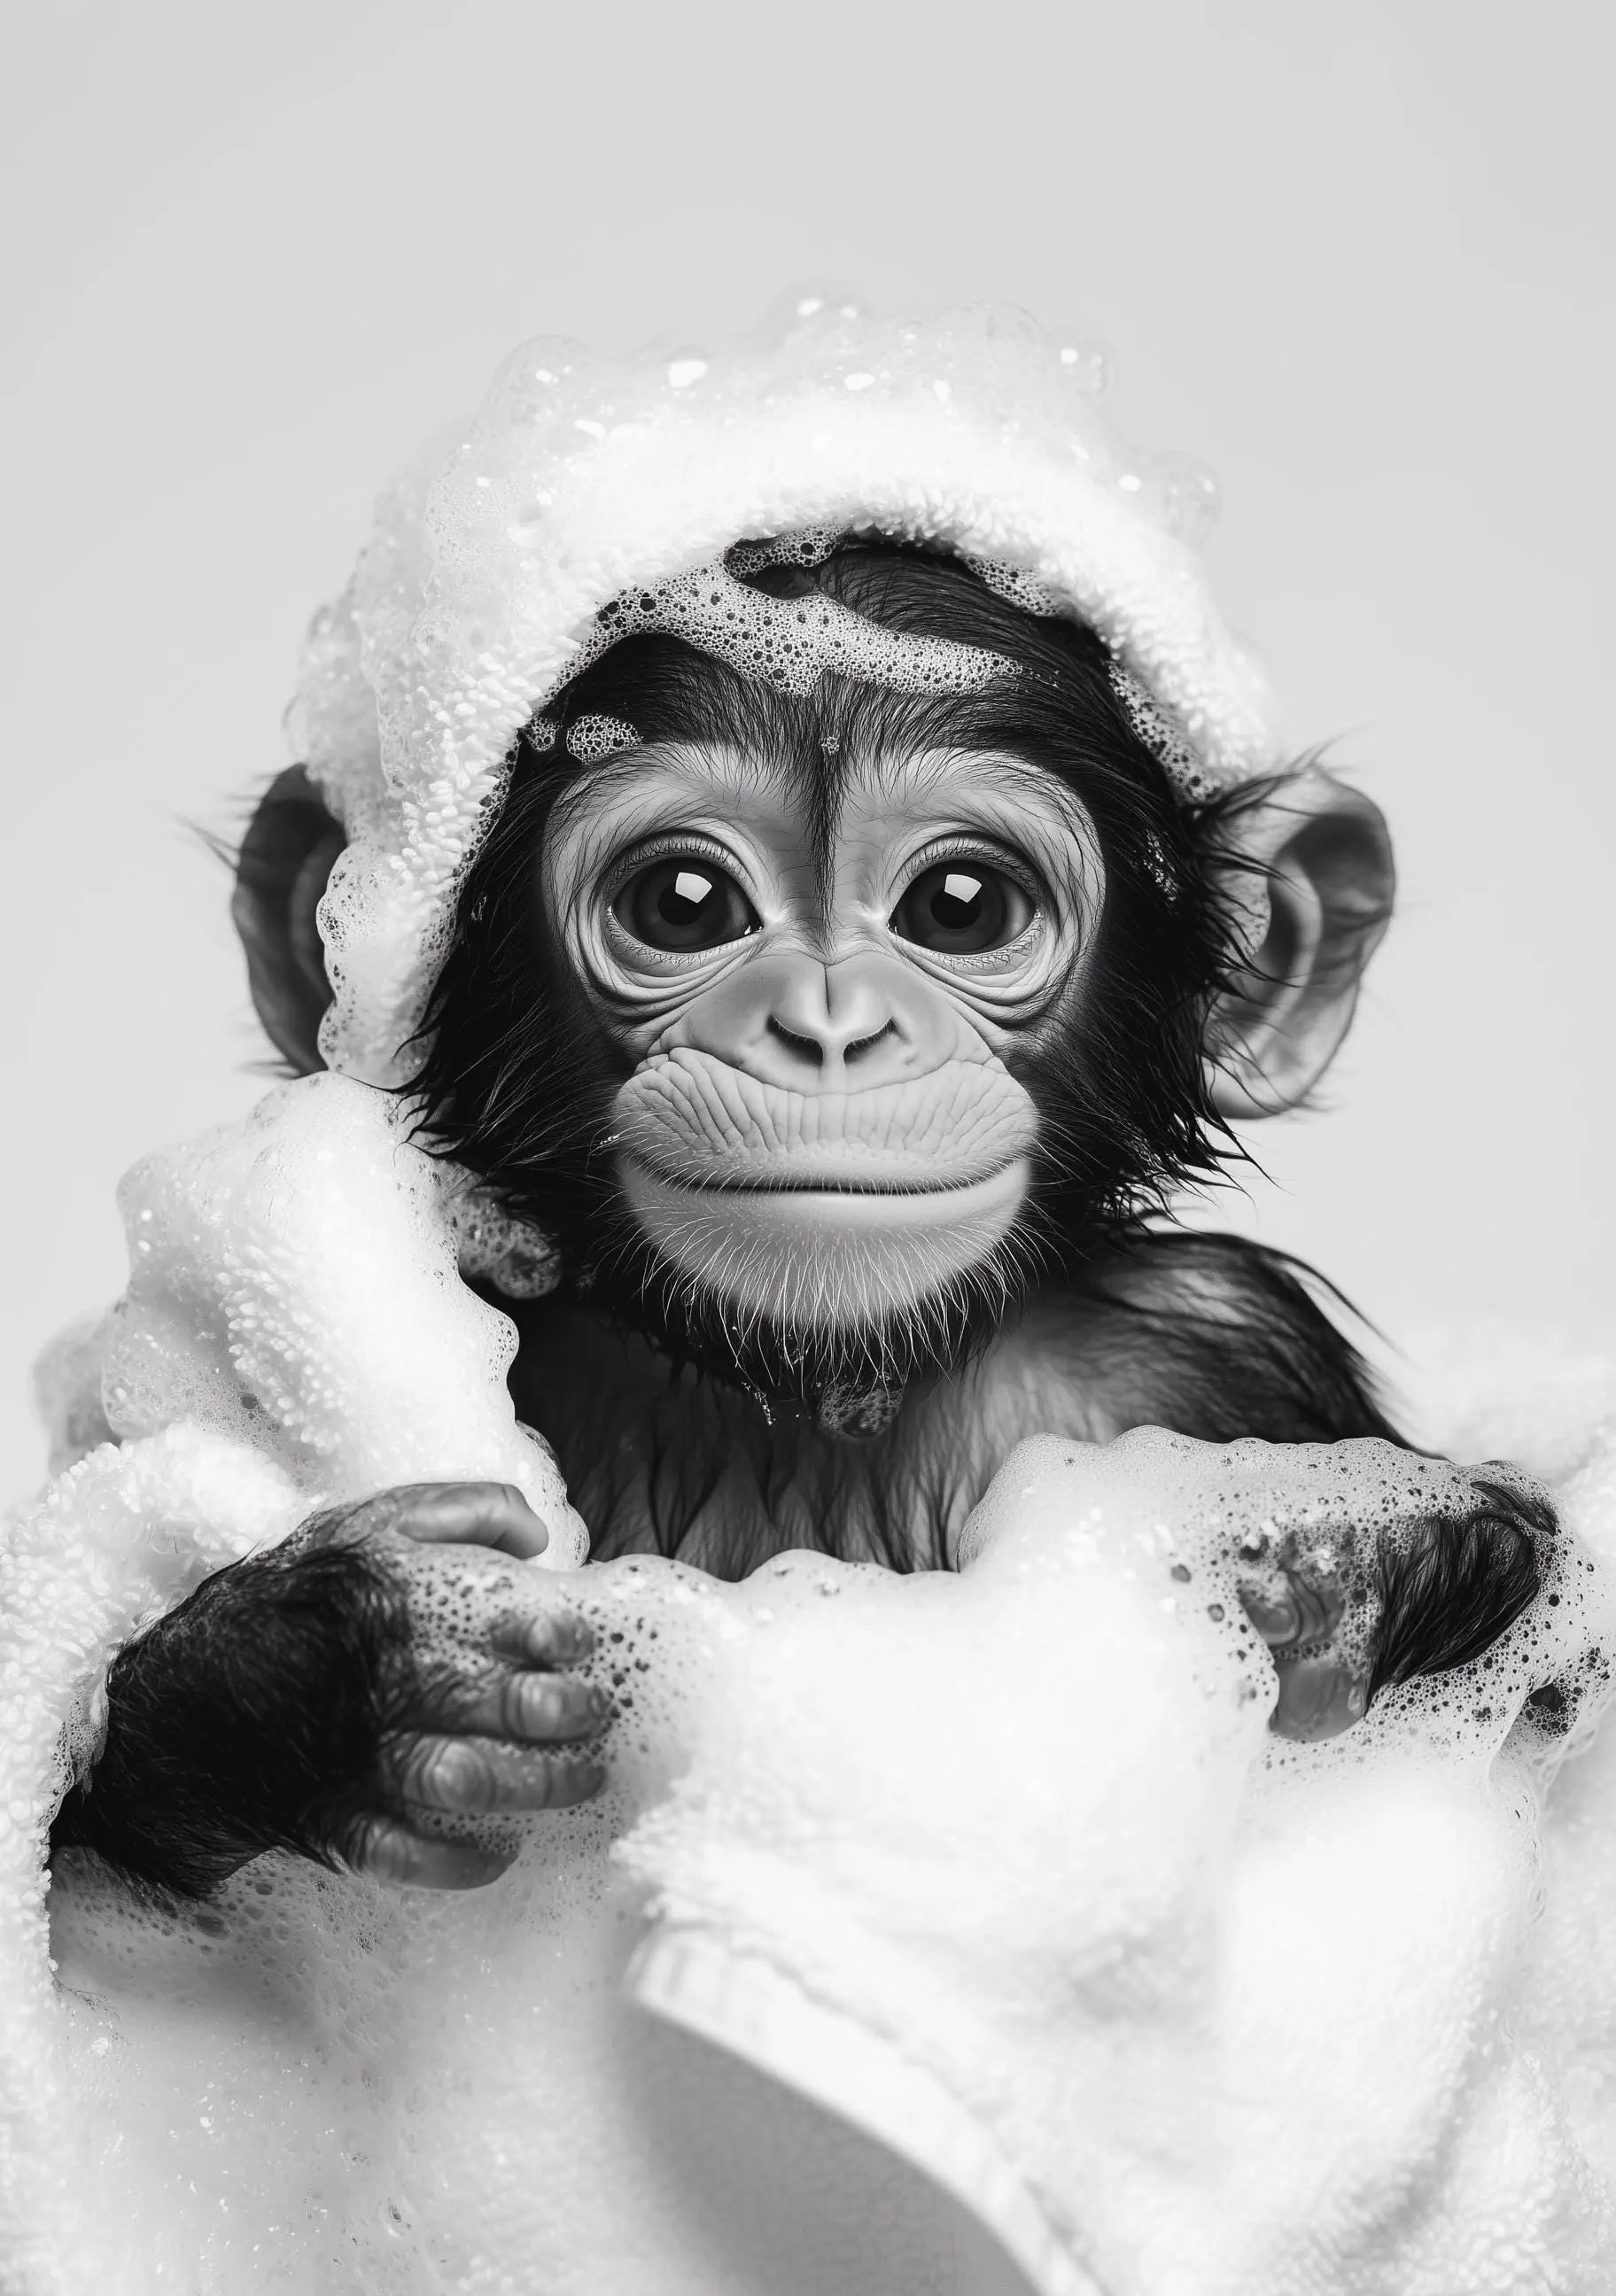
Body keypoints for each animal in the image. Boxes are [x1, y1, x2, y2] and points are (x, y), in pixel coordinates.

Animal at [49, 540, 1552, 1902]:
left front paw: (1352, 1561)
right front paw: (343, 1668)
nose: (830, 1029)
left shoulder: (1230, 1348)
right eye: (683, 903)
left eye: (961, 906)